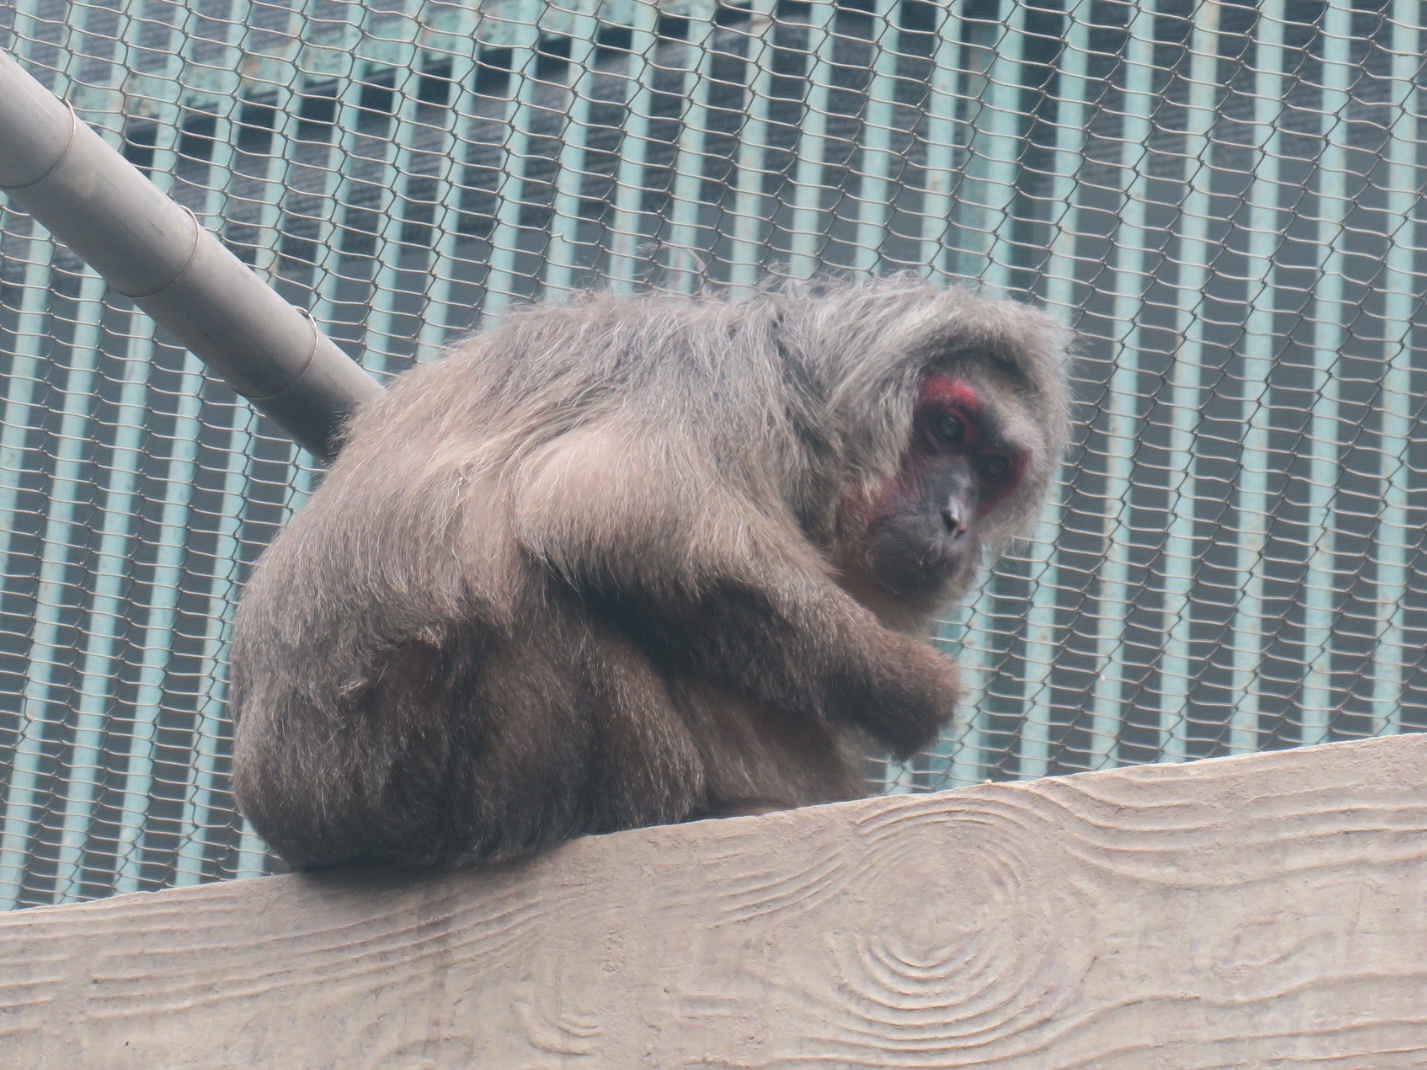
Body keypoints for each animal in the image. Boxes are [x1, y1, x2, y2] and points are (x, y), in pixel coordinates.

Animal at [228, 277, 1072, 871]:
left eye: (989, 469)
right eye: (946, 429)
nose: (954, 518)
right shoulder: (726, 390)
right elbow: (621, 519)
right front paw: (913, 692)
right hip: (412, 761)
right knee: (534, 582)